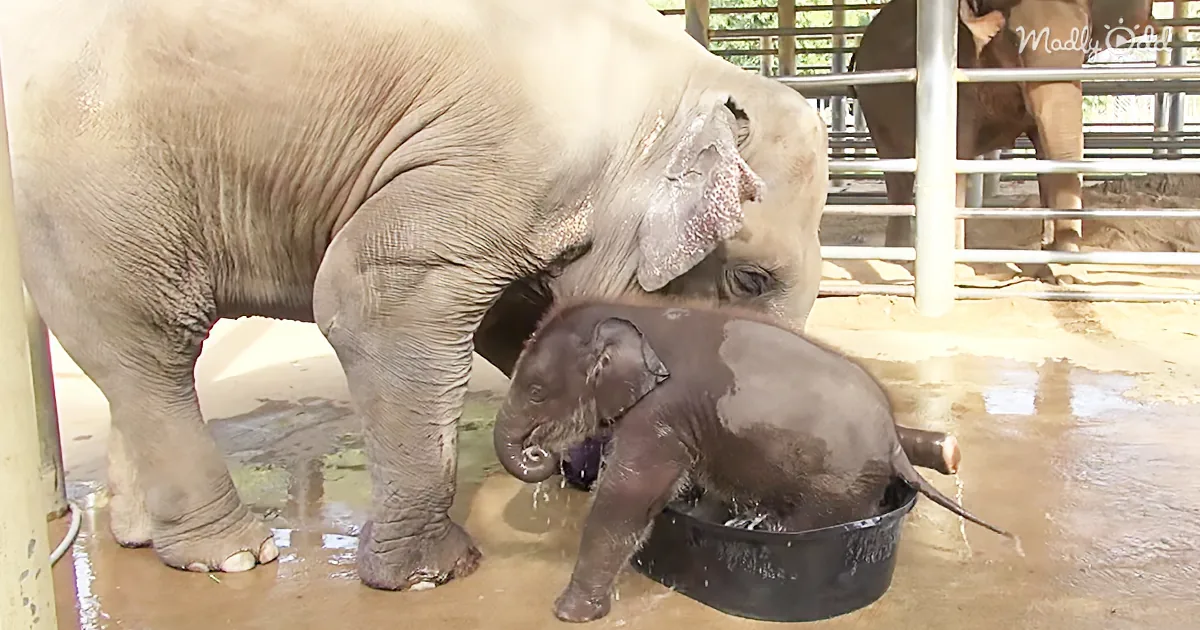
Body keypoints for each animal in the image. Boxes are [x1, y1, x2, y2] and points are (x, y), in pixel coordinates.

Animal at [0, 0, 837, 589]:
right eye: (752, 278)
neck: (680, 75)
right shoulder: (500, 160)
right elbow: (369, 294)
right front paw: (432, 575)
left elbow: (517, 316)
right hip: (97, 183)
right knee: (148, 344)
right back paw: (231, 557)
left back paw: (145, 535)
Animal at [493, 297, 1014, 623]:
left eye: (535, 391)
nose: (538, 451)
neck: (636, 316)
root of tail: (894, 445)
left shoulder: (661, 413)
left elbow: (629, 496)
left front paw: (569, 614)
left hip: (840, 484)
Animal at [850, 0, 1157, 259]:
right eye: (1014, 40)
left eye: (1084, 38)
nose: (1067, 270)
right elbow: (958, 157)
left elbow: (1045, 150)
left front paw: (1050, 258)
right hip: (875, 104)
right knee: (897, 175)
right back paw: (896, 255)